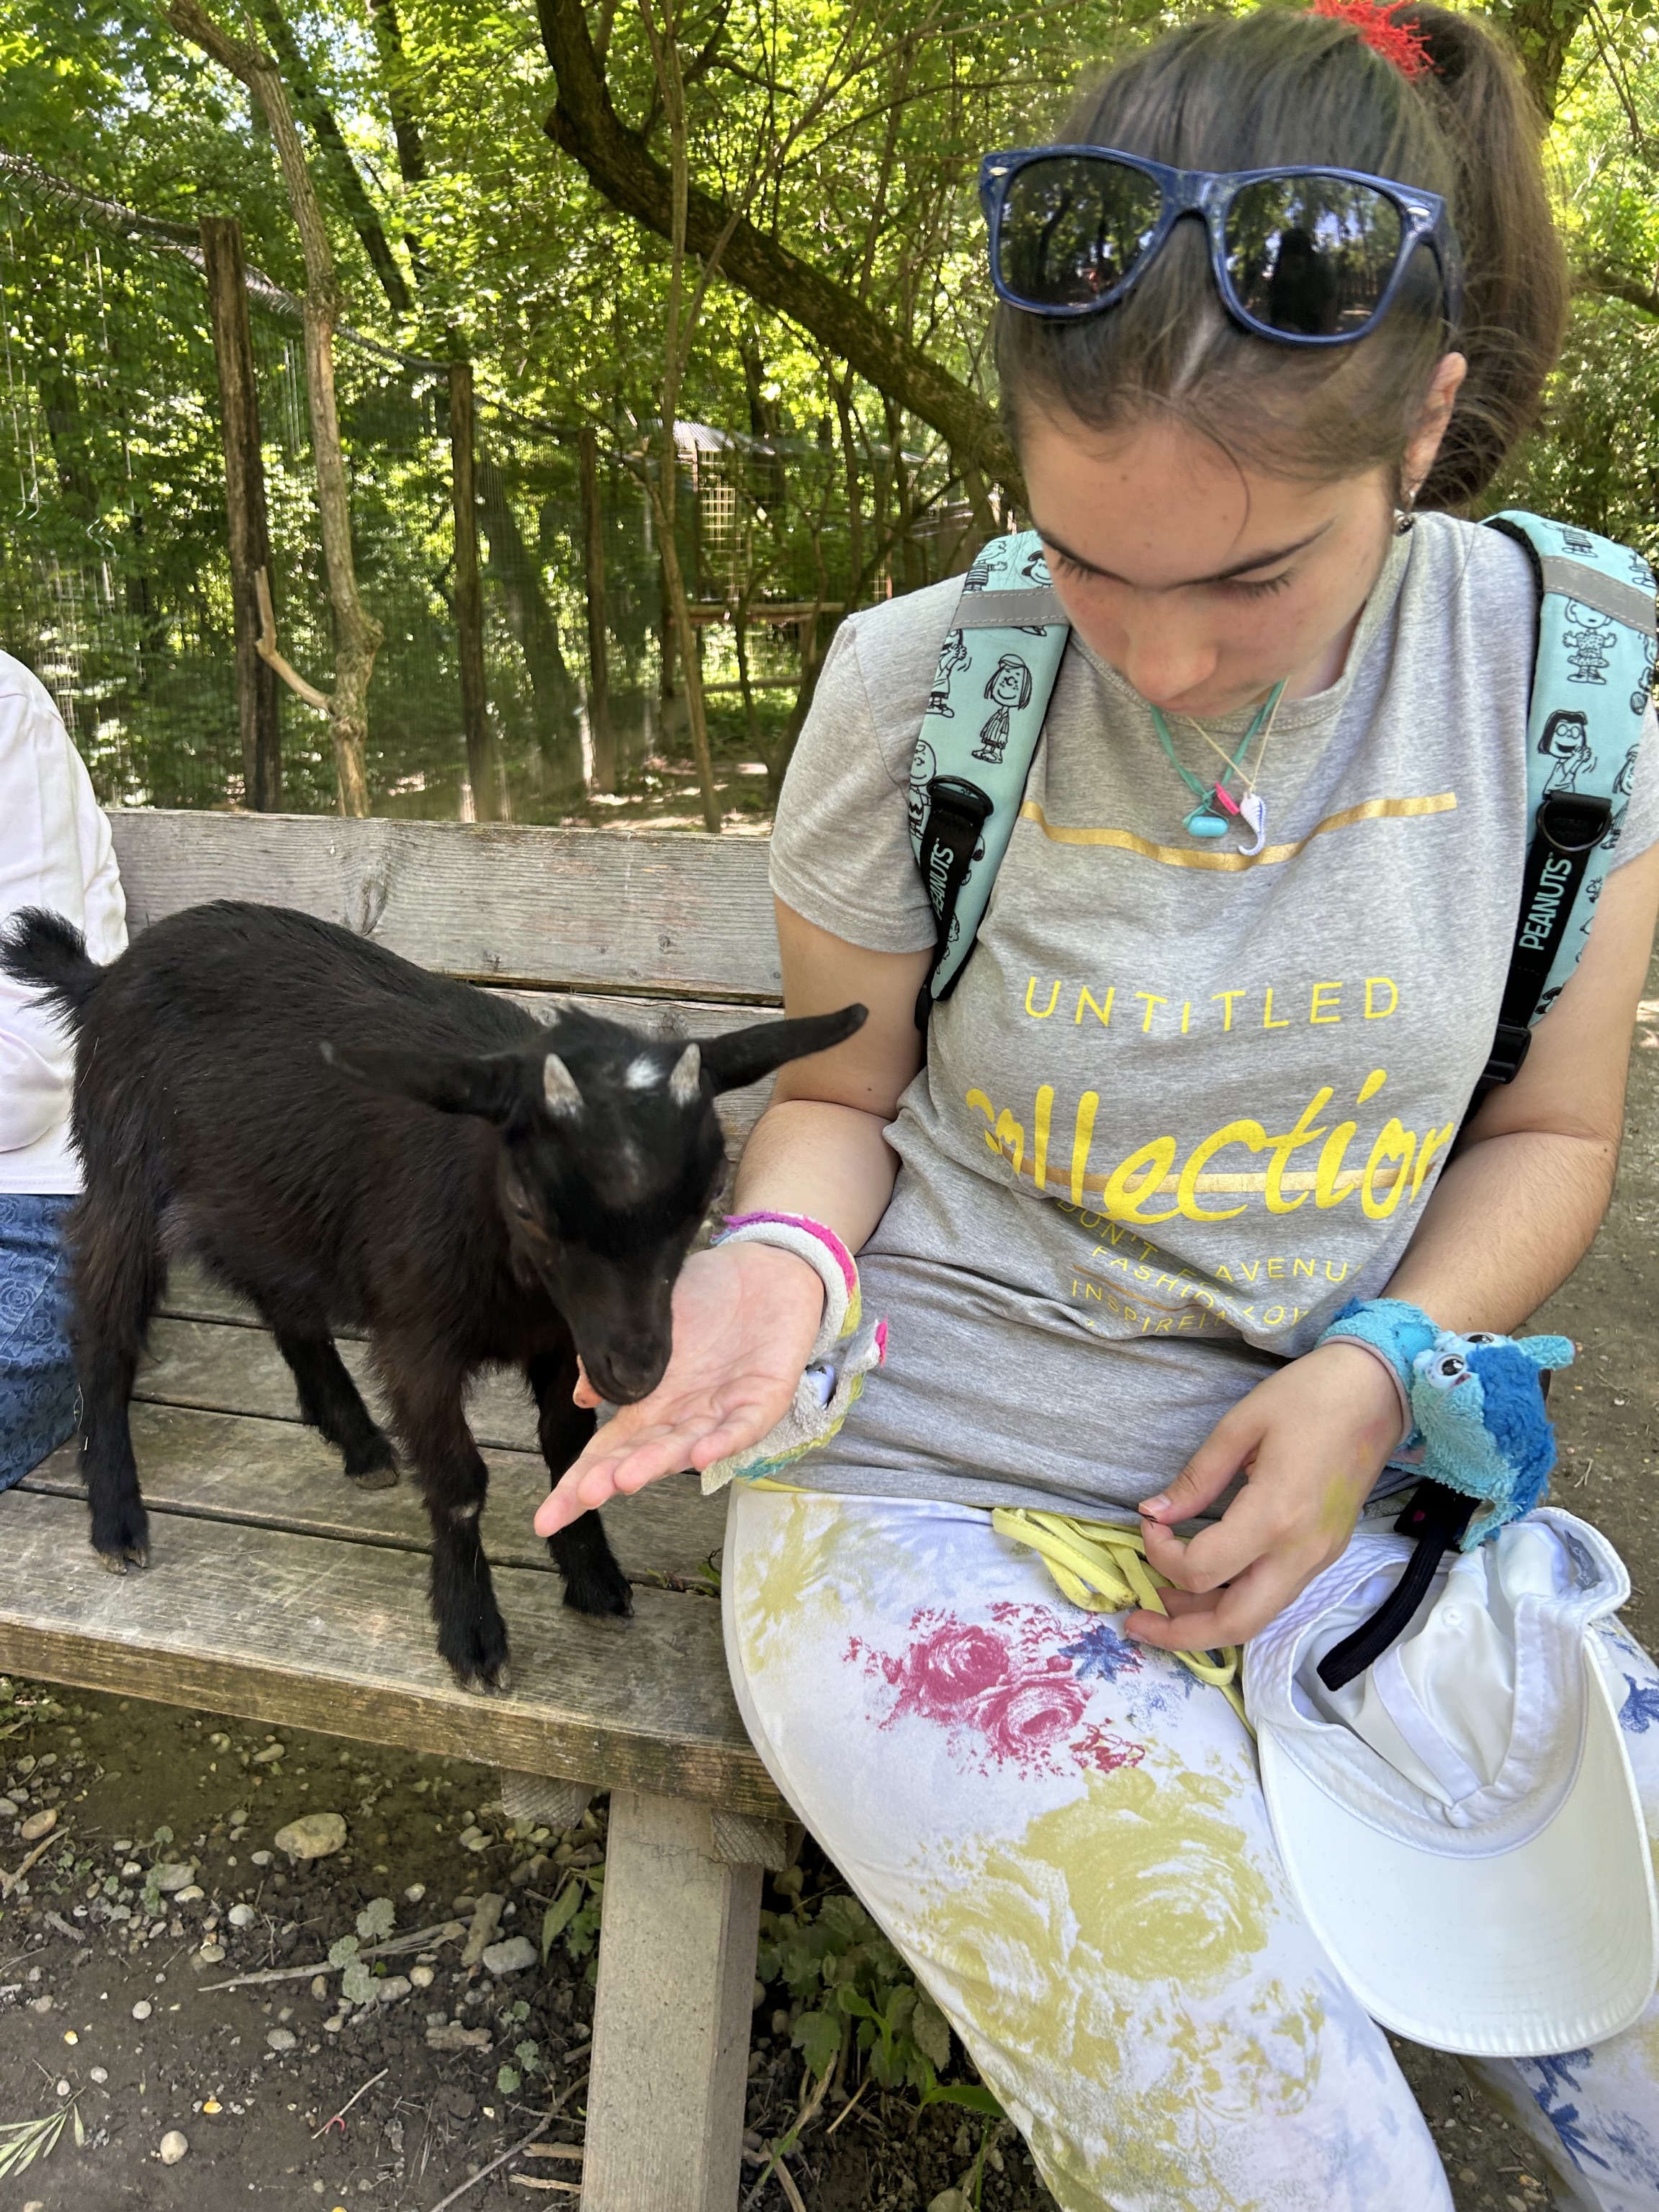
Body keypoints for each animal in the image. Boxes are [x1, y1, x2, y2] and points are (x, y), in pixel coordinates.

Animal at [0, 900, 864, 1689]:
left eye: (703, 1200)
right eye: (528, 1206)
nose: (636, 1371)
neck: (518, 1283)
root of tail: (107, 975)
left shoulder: (565, 1341)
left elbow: (567, 1446)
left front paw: (592, 1576)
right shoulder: (418, 1341)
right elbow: (458, 1484)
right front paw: (473, 1634)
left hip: (266, 1197)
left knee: (282, 1297)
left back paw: (357, 1440)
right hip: (125, 1177)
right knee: (104, 1333)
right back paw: (117, 1521)